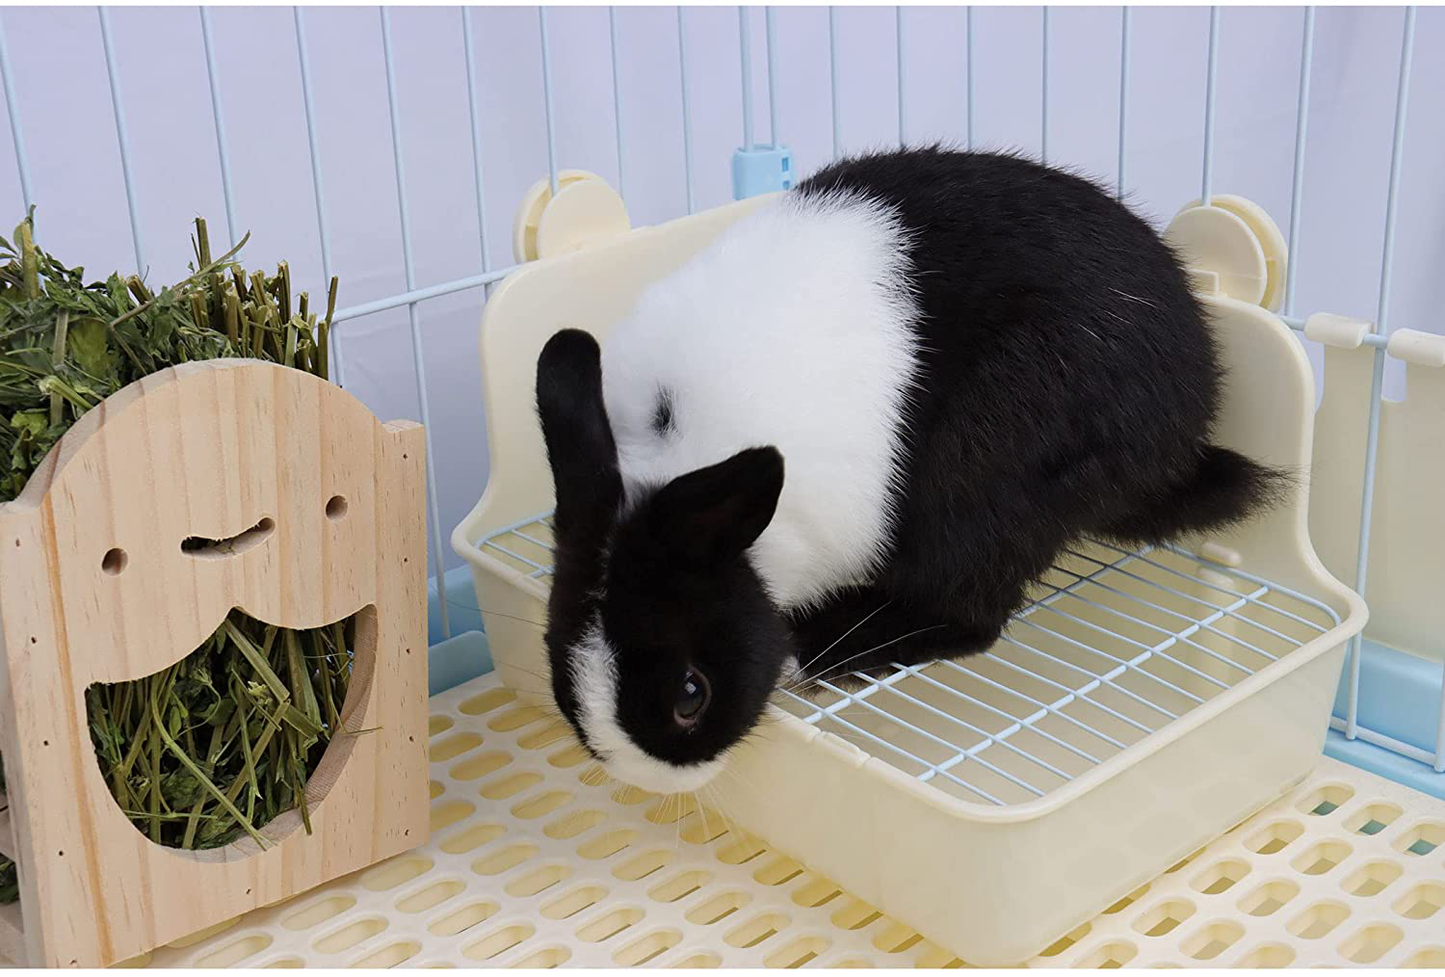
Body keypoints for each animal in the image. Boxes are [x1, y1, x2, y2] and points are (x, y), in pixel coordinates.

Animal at [534, 146, 1284, 793]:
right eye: (557, 661)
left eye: (692, 693)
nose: (649, 779)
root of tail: (1185, 427)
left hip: (986, 467)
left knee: (969, 611)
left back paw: (835, 645)